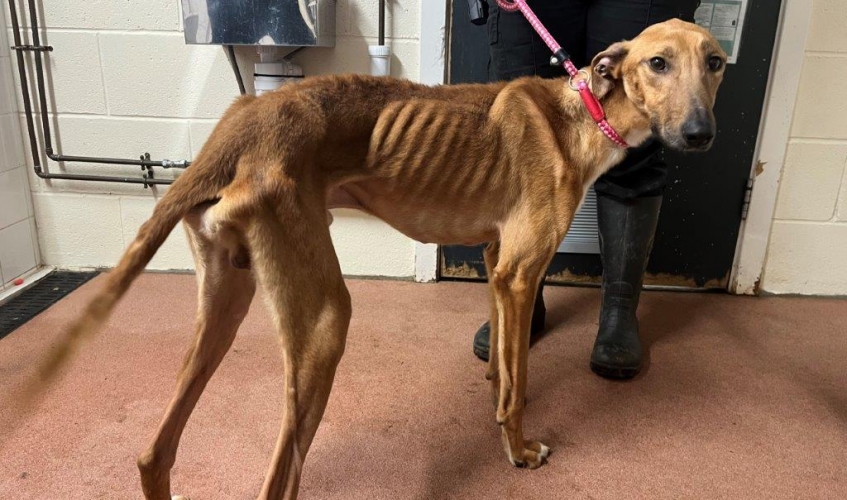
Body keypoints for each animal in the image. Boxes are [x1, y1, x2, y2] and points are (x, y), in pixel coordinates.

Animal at [29, 18, 724, 500]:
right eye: (657, 62)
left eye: (715, 62)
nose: (700, 135)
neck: (580, 114)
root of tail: (239, 122)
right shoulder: (520, 273)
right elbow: (520, 383)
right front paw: (520, 451)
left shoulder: (496, 265)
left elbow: (502, 368)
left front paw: (494, 400)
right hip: (324, 321)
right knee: (275, 479)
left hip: (226, 304)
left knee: (154, 454)